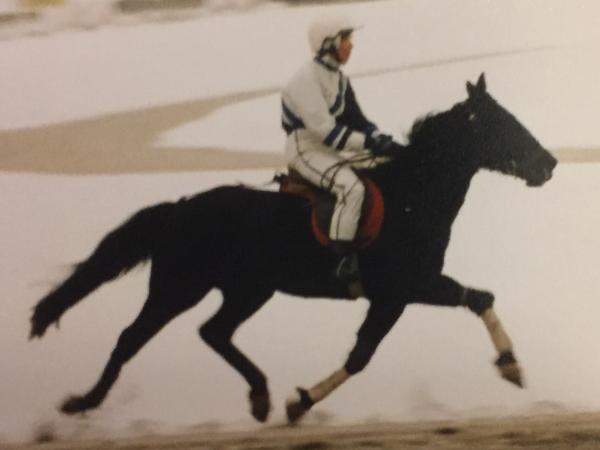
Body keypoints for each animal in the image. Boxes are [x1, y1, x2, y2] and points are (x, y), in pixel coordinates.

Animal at [29, 74, 557, 424]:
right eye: (500, 123)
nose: (548, 163)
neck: (412, 196)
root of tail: (179, 209)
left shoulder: (407, 290)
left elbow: (473, 301)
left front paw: (512, 366)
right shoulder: (402, 289)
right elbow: (366, 354)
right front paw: (299, 401)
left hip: (247, 291)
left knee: (213, 332)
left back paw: (260, 396)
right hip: (178, 289)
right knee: (132, 338)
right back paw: (83, 402)